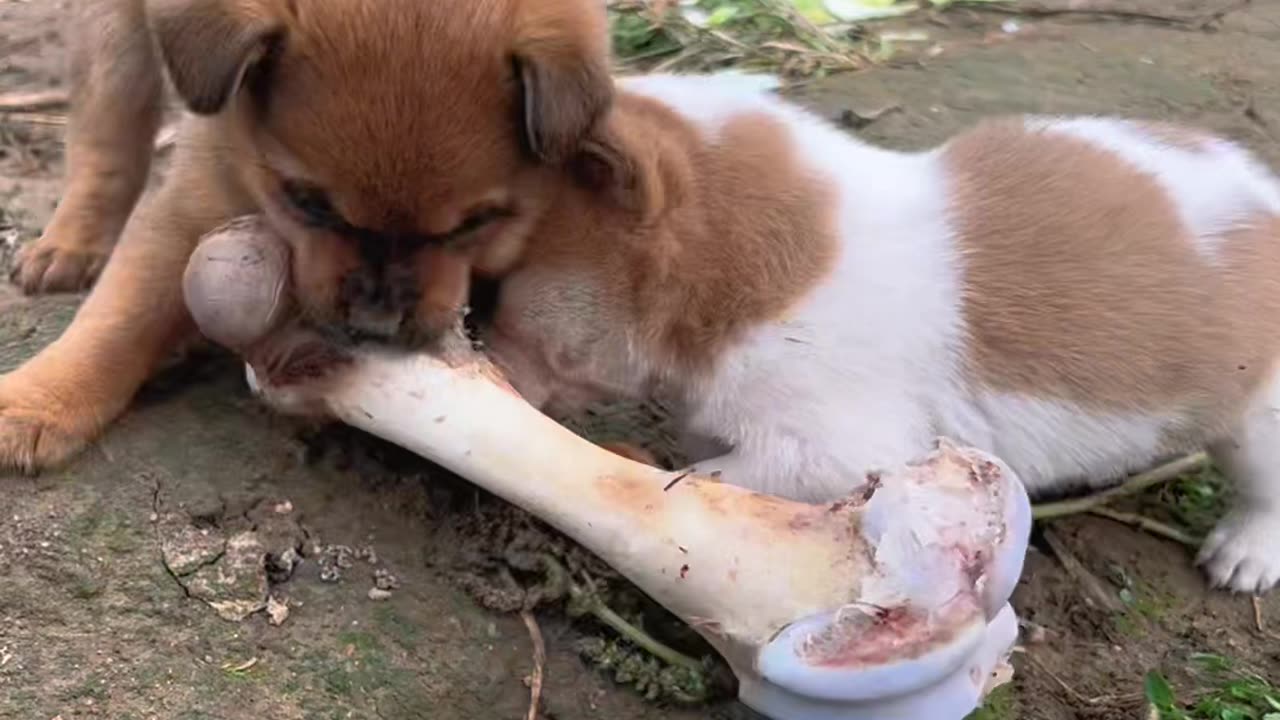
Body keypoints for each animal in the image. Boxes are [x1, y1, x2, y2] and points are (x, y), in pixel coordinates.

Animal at [0, 0, 614, 471]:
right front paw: (36, 404)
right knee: (108, 123)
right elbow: (120, 318)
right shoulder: (192, 199)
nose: (374, 325)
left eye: (472, 225)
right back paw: (71, 243)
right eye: (307, 203)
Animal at [478, 73, 1280, 591]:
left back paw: (1247, 551)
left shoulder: (833, 451)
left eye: (488, 288)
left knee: (1264, 486)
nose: (467, 352)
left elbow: (711, 486)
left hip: (1258, 423)